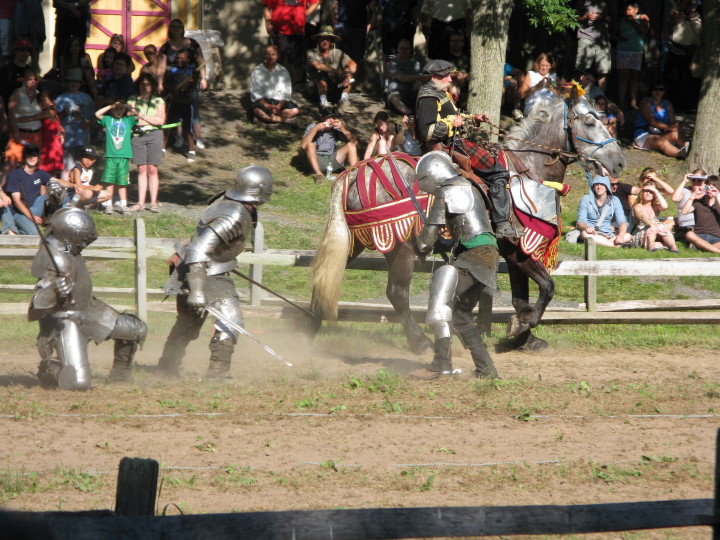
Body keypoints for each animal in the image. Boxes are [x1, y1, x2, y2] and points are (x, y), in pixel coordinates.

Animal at [310, 92, 624, 354]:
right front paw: (522, 327)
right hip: (401, 246)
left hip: (355, 240)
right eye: (590, 122)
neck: (527, 171)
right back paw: (420, 343)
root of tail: (354, 172)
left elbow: (521, 299)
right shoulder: (517, 249)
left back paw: (307, 328)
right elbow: (547, 288)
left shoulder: (513, 253)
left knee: (323, 278)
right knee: (397, 293)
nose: (619, 162)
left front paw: (523, 338)